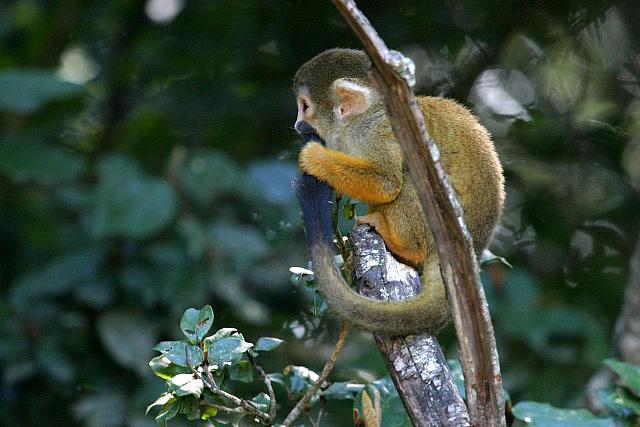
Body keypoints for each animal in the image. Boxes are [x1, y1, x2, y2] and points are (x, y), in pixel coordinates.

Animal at [293, 48, 505, 335]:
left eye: (305, 107)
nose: (296, 125)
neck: (365, 115)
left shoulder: (377, 131)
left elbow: (388, 184)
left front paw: (315, 157)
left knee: (411, 177)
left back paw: (405, 246)